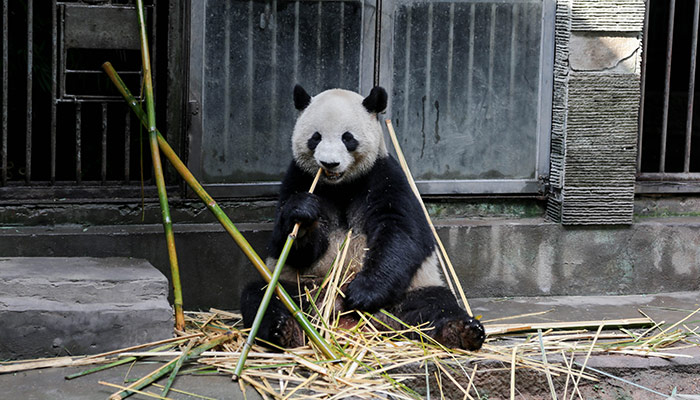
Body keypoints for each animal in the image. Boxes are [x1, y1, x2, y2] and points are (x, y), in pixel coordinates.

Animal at [238, 83, 484, 350]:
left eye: (348, 138)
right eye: (316, 137)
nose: (329, 163)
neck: (341, 185)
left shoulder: (384, 176)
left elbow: (401, 233)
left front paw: (362, 293)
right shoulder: (299, 178)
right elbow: (288, 244)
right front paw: (302, 215)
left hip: (411, 289)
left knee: (435, 304)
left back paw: (460, 331)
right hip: (304, 288)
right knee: (264, 296)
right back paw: (285, 330)